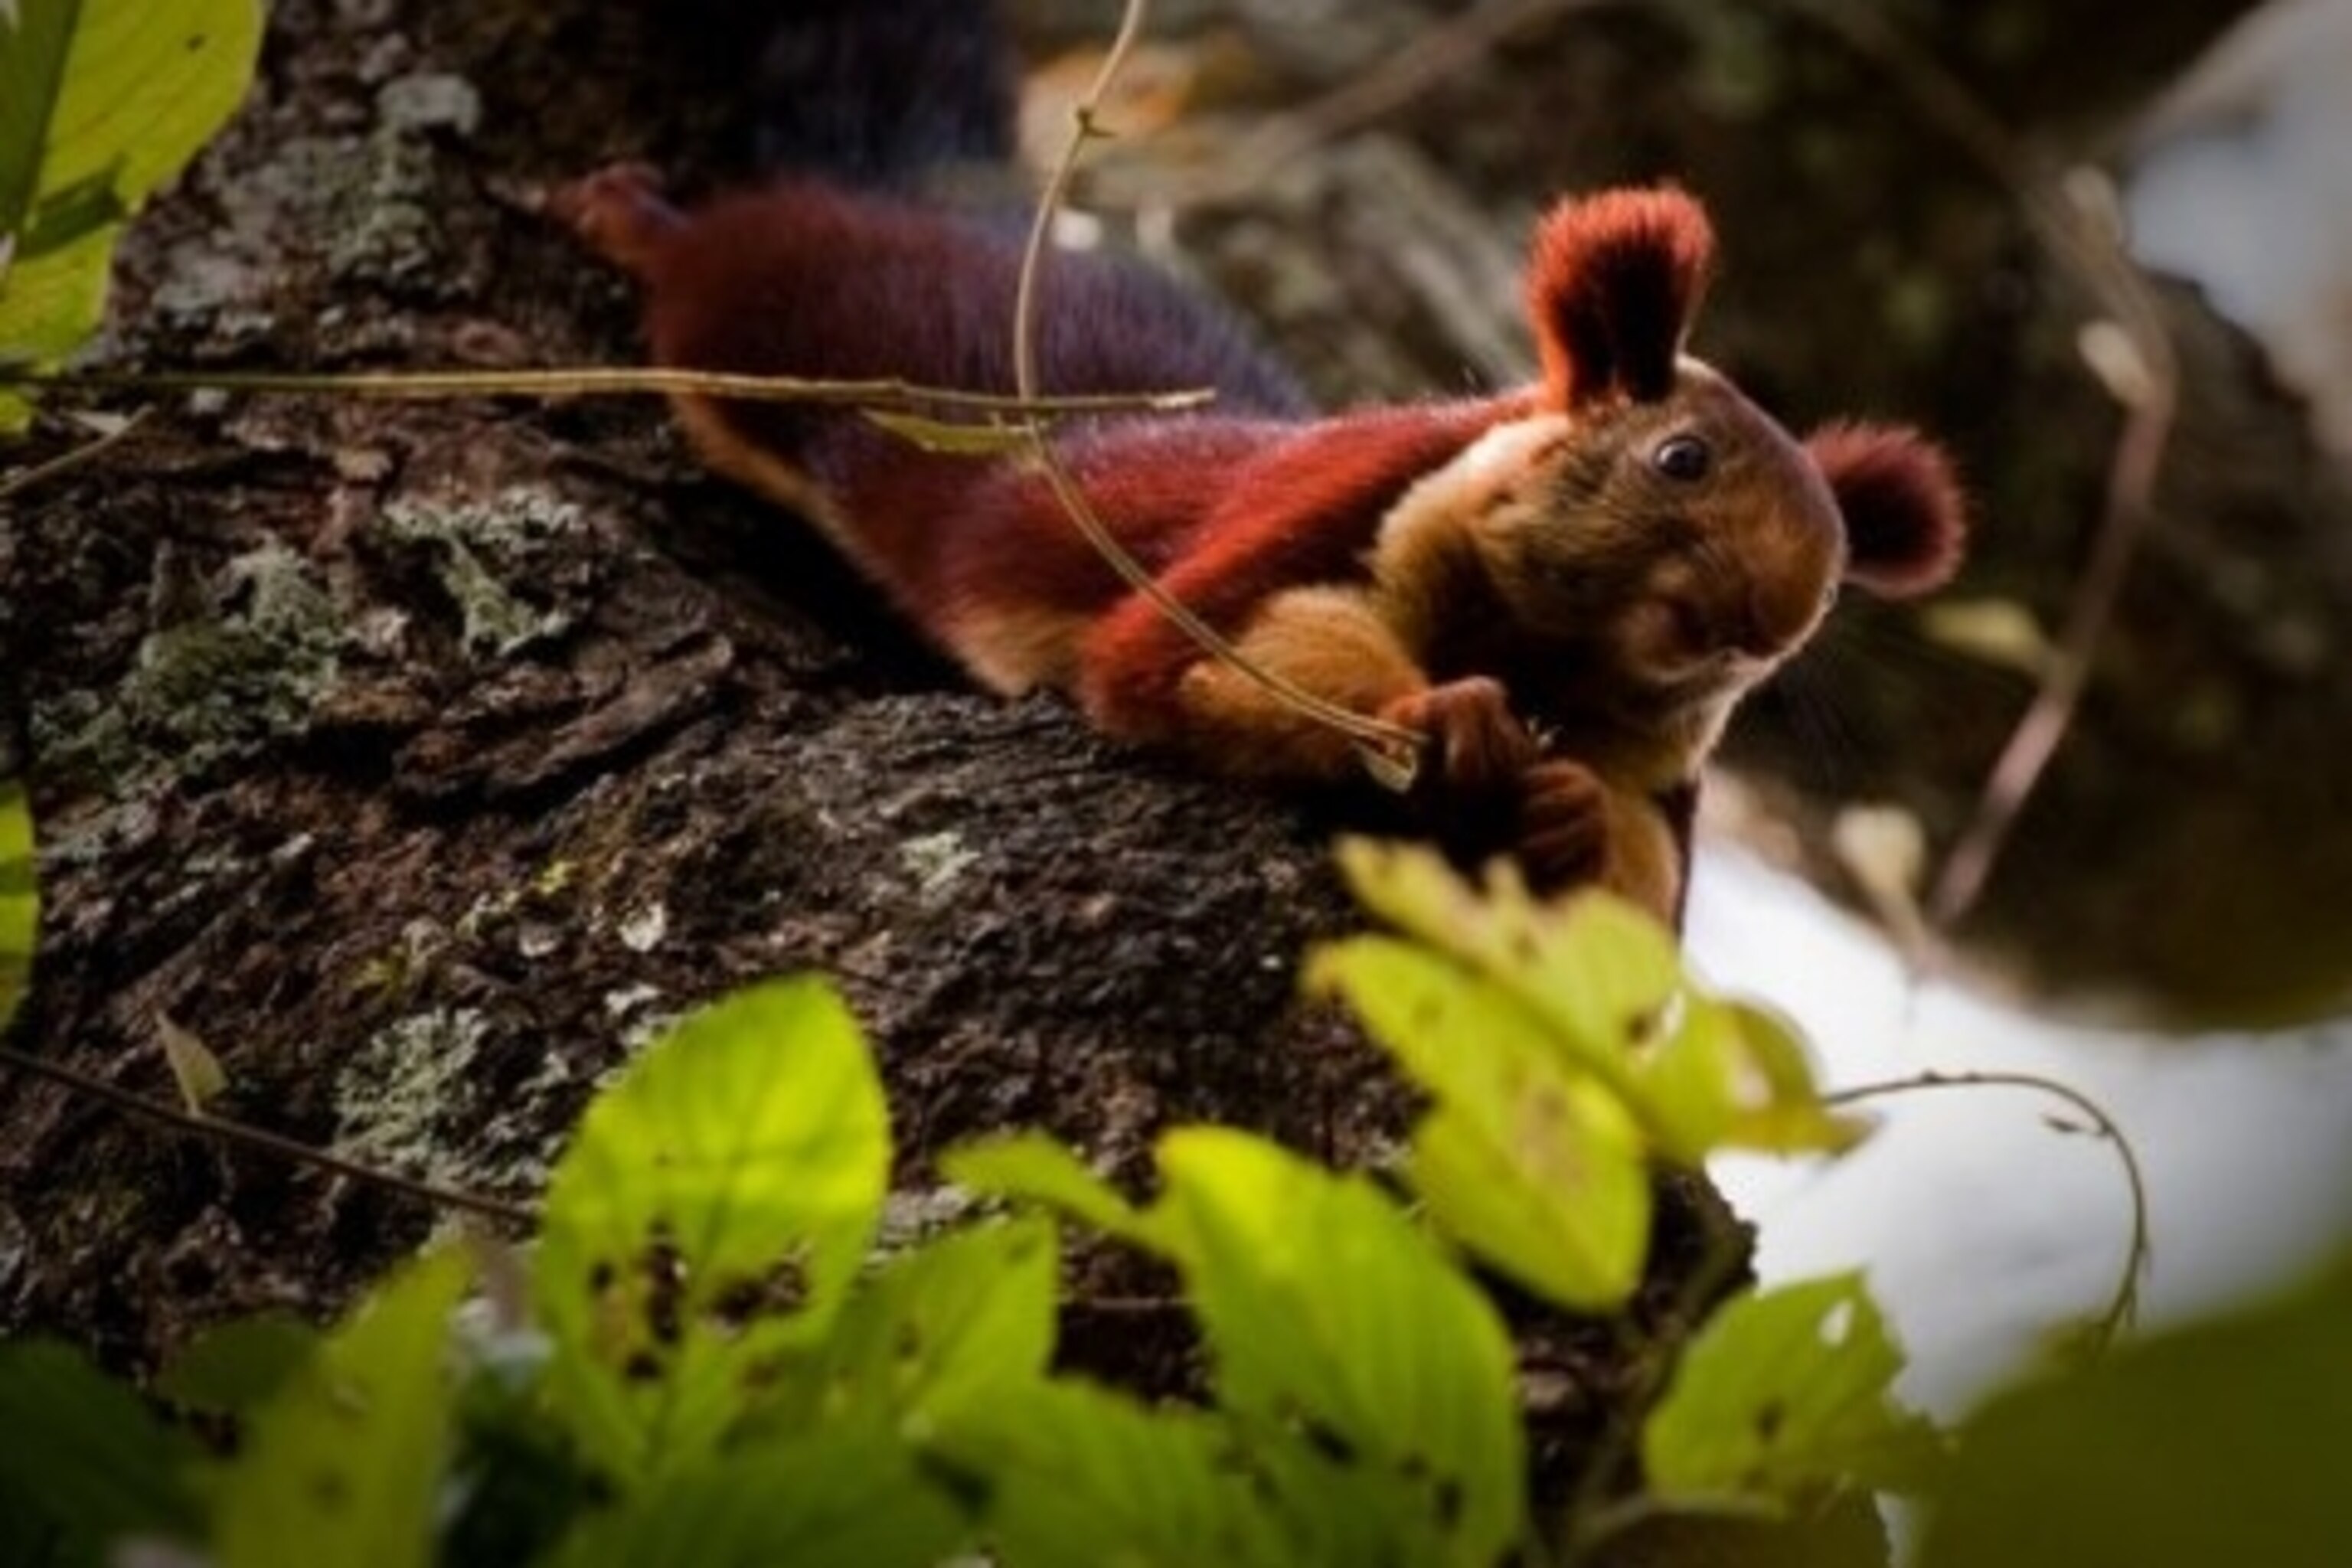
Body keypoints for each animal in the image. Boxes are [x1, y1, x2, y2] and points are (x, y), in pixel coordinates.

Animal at [551, 0, 1967, 927]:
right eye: (1680, 458)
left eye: (1834, 581)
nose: (1766, 617)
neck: (1547, 644)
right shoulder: (1333, 510)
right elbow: (1193, 656)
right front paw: (1433, 713)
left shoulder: (1659, 764)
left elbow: (1638, 929)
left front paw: (1568, 815)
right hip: (803, 323)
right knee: (728, 268)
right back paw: (633, 215)